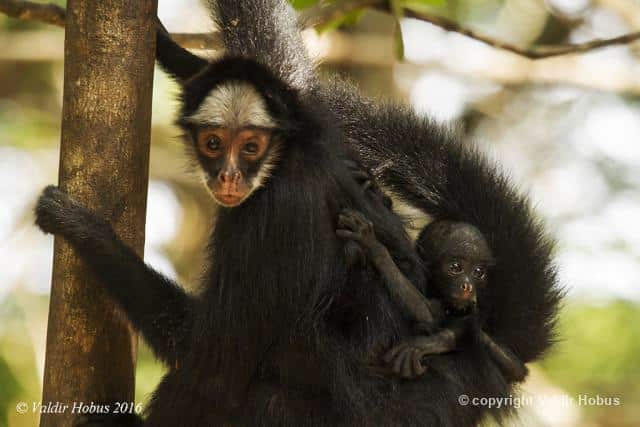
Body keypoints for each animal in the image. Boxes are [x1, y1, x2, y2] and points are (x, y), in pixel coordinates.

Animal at [338, 211, 528, 382]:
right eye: (456, 267)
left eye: (478, 272)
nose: (468, 286)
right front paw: (374, 246)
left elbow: (430, 317)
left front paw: (374, 246)